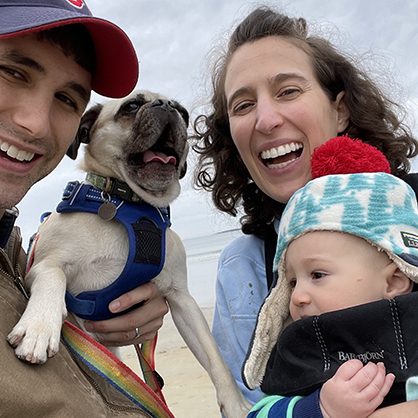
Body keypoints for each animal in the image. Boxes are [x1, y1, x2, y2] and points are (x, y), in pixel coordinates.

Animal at [7, 90, 251, 418]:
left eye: (183, 113)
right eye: (131, 106)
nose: (167, 106)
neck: (130, 203)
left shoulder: (182, 299)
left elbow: (214, 357)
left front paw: (235, 404)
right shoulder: (42, 265)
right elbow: (54, 277)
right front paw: (39, 327)